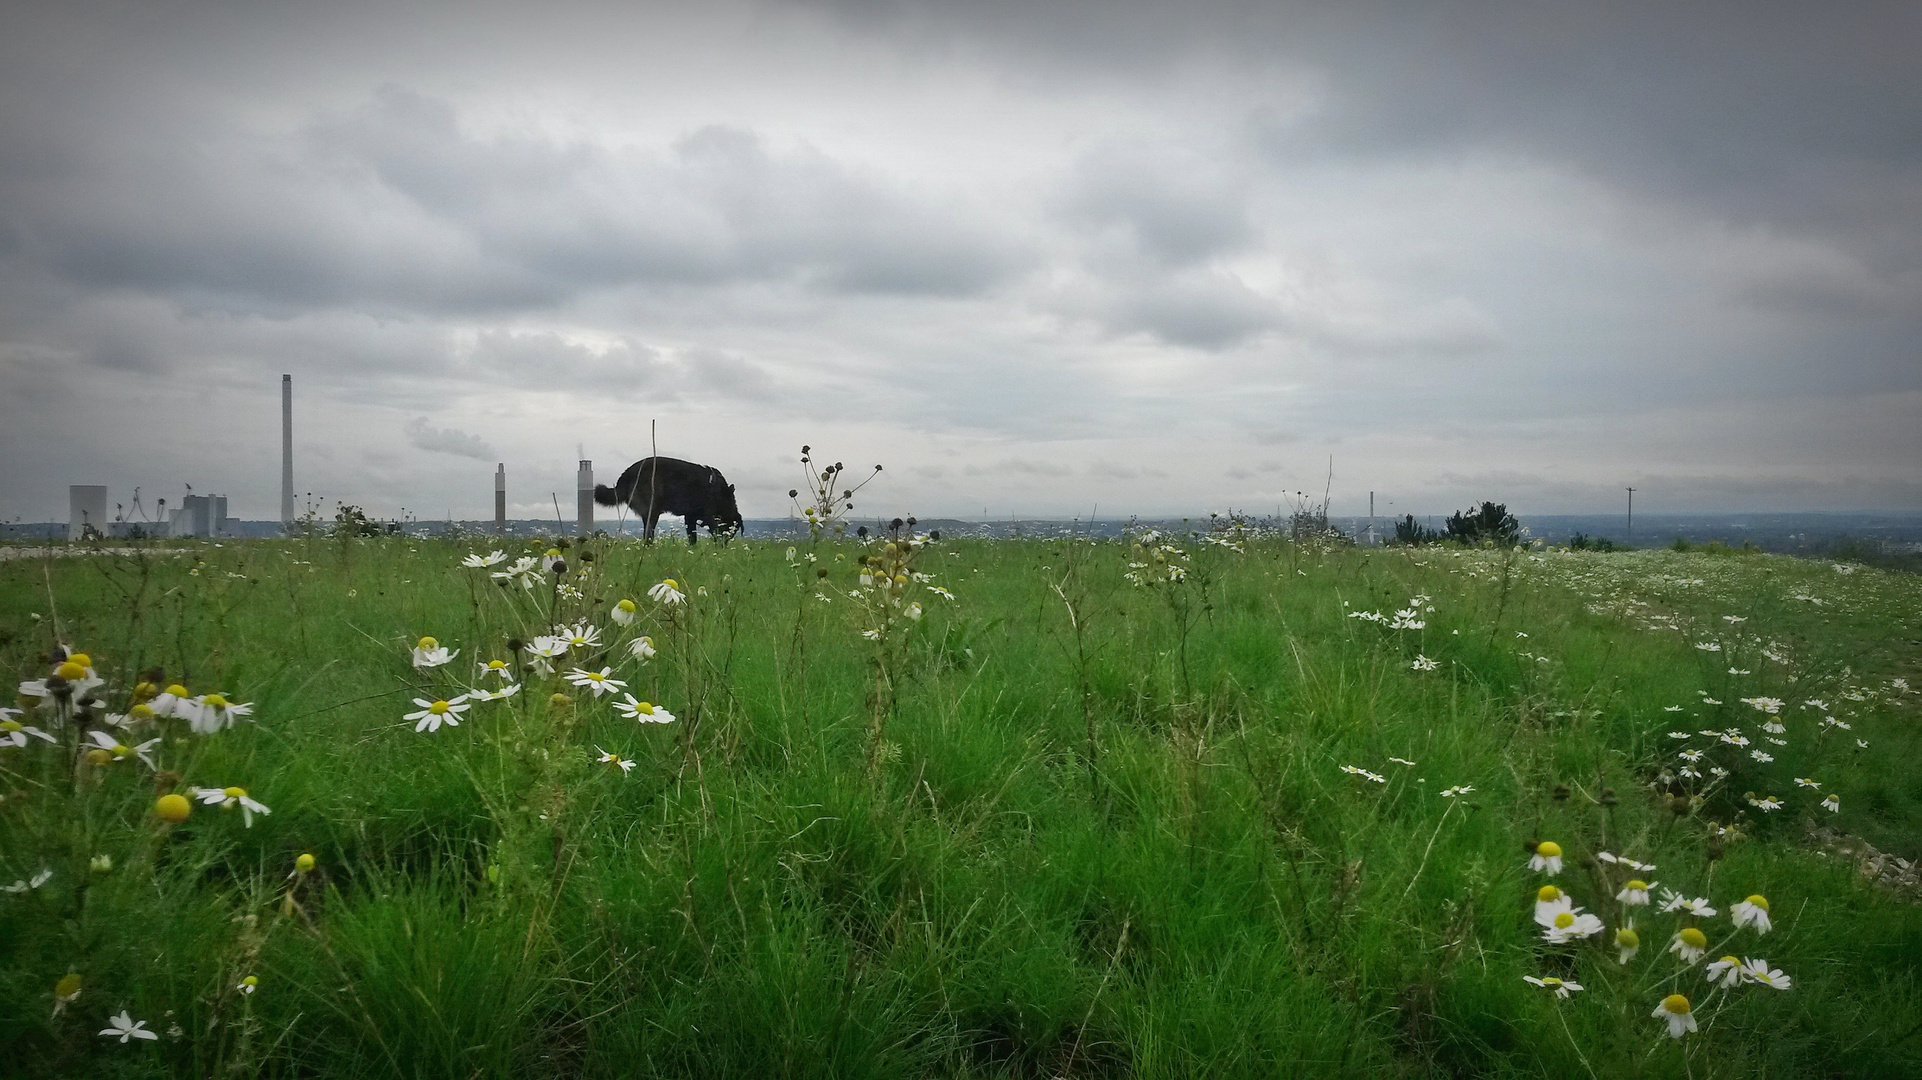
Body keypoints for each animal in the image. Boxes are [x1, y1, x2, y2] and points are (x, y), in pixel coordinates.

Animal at [595, 453, 745, 541]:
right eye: (729, 531)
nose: (724, 547)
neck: (722, 496)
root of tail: (626, 475)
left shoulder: (690, 517)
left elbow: (692, 538)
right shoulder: (707, 516)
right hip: (653, 511)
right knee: (648, 536)